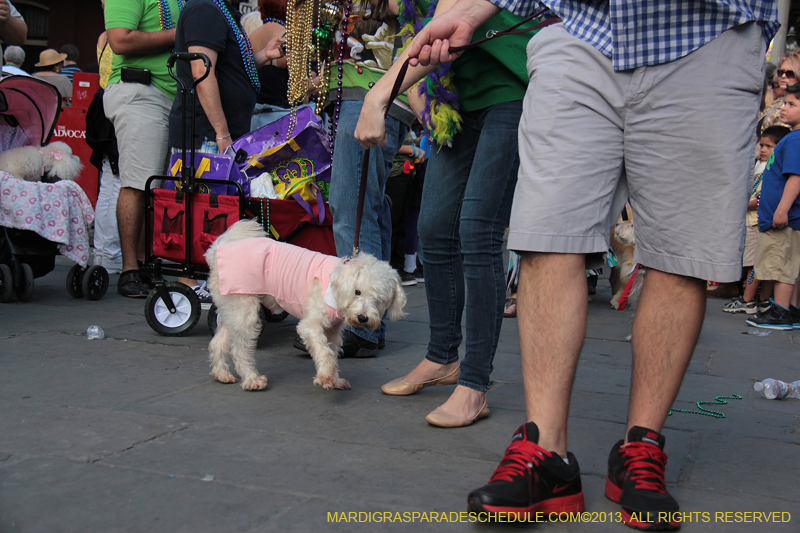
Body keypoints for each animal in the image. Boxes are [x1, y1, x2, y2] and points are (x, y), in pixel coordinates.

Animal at [206, 219, 406, 390]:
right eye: (357, 291)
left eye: (379, 299)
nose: (363, 318)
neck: (336, 287)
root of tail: (218, 248)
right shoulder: (310, 326)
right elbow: (324, 351)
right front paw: (325, 377)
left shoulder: (332, 331)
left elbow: (331, 352)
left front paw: (334, 379)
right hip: (244, 309)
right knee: (239, 349)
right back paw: (252, 379)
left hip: (232, 310)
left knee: (218, 342)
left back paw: (222, 374)